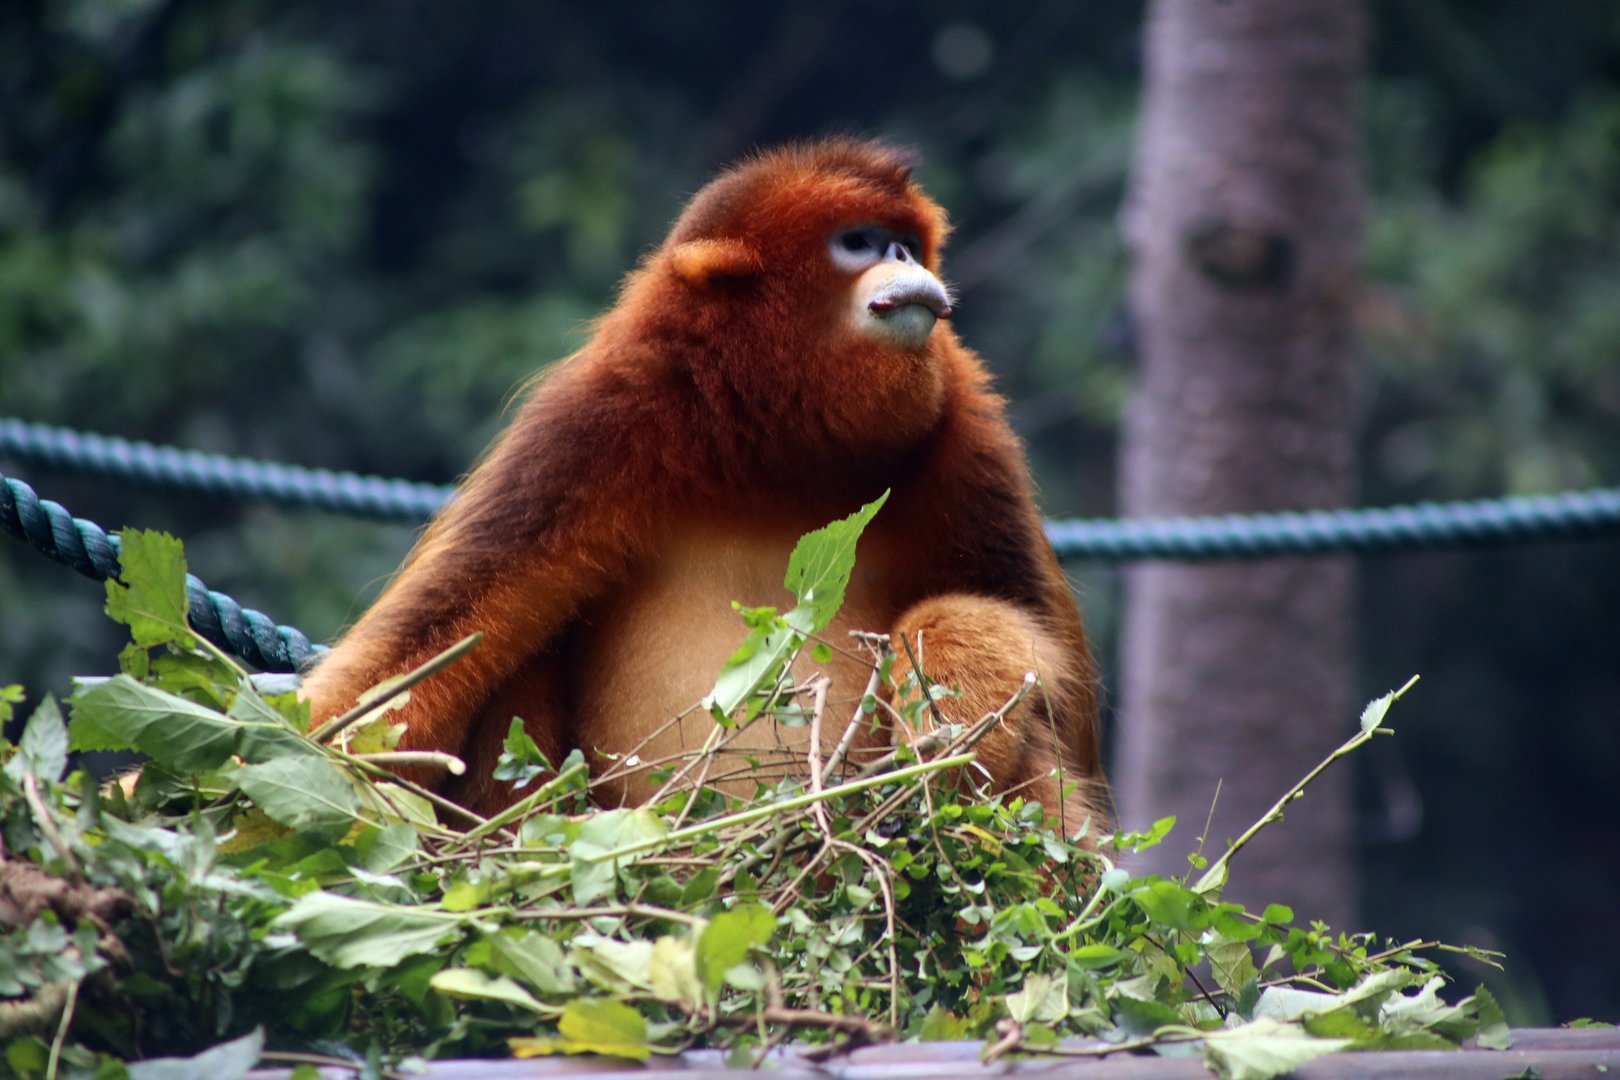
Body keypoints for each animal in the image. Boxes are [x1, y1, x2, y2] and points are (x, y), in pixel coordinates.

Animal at [299, 138, 1109, 834]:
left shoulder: (968, 427)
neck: (780, 453)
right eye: (860, 242)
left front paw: (947, 719)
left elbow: (1057, 699)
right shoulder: (590, 426)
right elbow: (410, 664)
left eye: (904, 242)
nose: (907, 259)